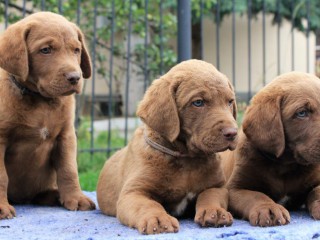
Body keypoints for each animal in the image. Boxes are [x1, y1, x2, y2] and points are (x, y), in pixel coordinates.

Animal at [0, 11, 95, 218]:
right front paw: (1, 207)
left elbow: (69, 170)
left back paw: (54, 196)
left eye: (76, 50)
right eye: (45, 50)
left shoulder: (66, 136)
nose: (75, 77)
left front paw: (76, 198)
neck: (41, 101)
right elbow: (1, 176)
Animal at [97, 59, 238, 233]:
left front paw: (215, 212)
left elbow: (210, 195)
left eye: (230, 102)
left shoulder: (217, 186)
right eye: (198, 102)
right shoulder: (134, 192)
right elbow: (148, 204)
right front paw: (158, 219)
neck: (188, 160)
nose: (232, 133)